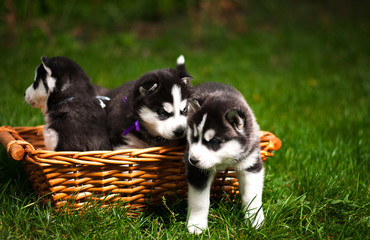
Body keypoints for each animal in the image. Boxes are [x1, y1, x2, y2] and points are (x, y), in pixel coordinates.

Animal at [184, 82, 264, 234]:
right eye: (194, 137)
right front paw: (197, 225)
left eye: (214, 141)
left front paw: (254, 221)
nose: (192, 160)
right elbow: (200, 200)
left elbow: (252, 196)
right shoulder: (198, 172)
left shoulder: (251, 164)